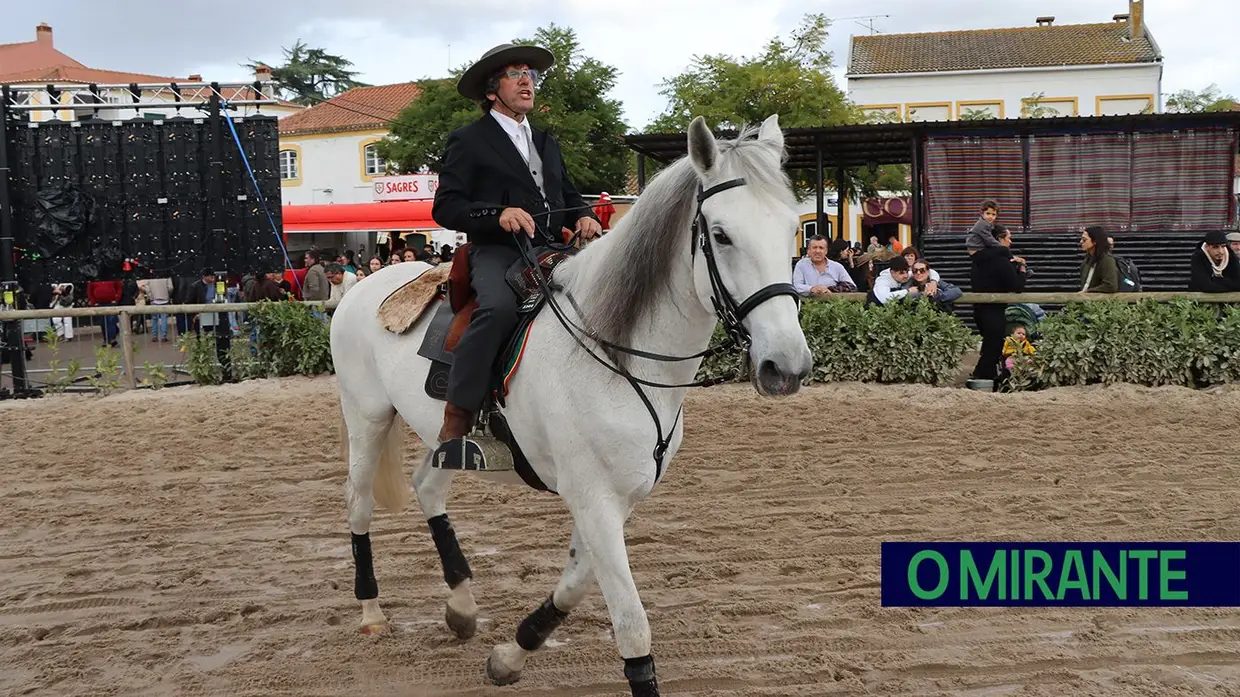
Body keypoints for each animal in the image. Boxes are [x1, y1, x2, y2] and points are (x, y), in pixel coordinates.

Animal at [329, 113, 813, 697]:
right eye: (720, 234)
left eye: (791, 228)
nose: (786, 366)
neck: (615, 352)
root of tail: (365, 287)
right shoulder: (592, 496)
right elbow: (631, 623)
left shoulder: (615, 499)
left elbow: (577, 583)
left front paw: (511, 654)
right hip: (367, 418)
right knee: (358, 504)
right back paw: (371, 611)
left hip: (446, 437)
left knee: (428, 487)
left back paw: (461, 606)